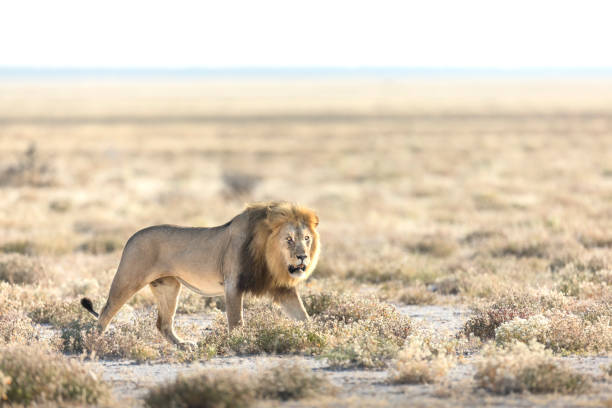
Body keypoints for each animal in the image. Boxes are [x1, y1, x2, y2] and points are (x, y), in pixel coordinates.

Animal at [80, 201, 320, 348]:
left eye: (306, 238)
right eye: (289, 239)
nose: (302, 257)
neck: (271, 257)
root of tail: (131, 237)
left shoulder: (282, 288)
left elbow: (303, 316)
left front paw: (317, 336)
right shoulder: (232, 284)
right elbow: (236, 321)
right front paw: (239, 342)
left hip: (169, 287)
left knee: (163, 323)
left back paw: (183, 345)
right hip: (128, 280)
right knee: (105, 313)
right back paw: (95, 344)